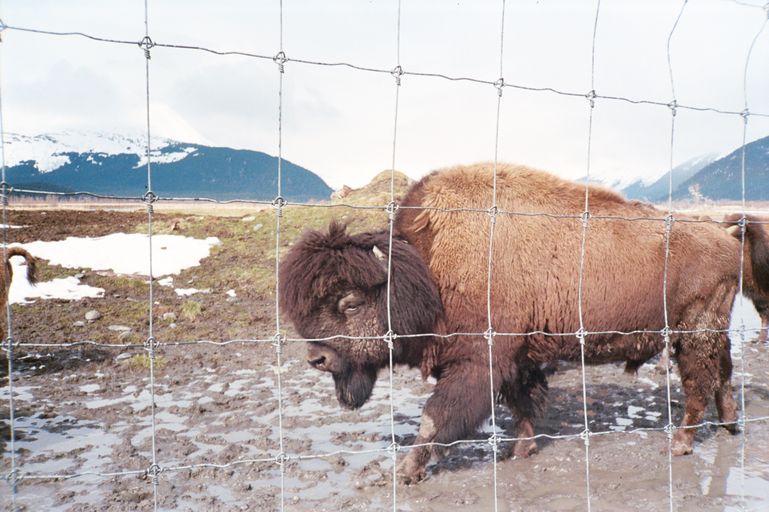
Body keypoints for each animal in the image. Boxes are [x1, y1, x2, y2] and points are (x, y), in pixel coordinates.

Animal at [279, 163, 769, 483]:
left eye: (349, 302)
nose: (317, 358)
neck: (425, 266)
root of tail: (723, 232)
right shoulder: (516, 358)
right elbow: (521, 404)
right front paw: (523, 449)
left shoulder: (479, 362)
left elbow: (436, 417)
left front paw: (406, 471)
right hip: (713, 328)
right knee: (723, 372)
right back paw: (729, 425)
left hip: (693, 330)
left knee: (699, 381)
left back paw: (682, 442)